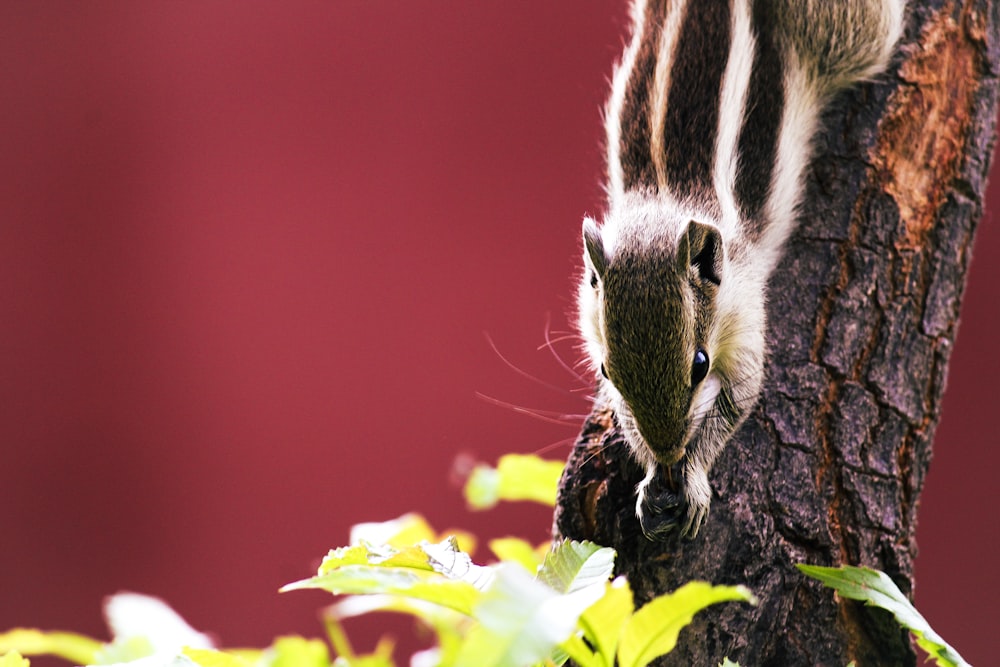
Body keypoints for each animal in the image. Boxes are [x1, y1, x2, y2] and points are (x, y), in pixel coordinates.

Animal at [576, 0, 912, 544]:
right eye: (606, 369)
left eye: (699, 364)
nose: (670, 452)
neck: (666, 201)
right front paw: (651, 480)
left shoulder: (748, 313)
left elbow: (740, 397)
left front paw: (691, 478)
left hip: (847, 40)